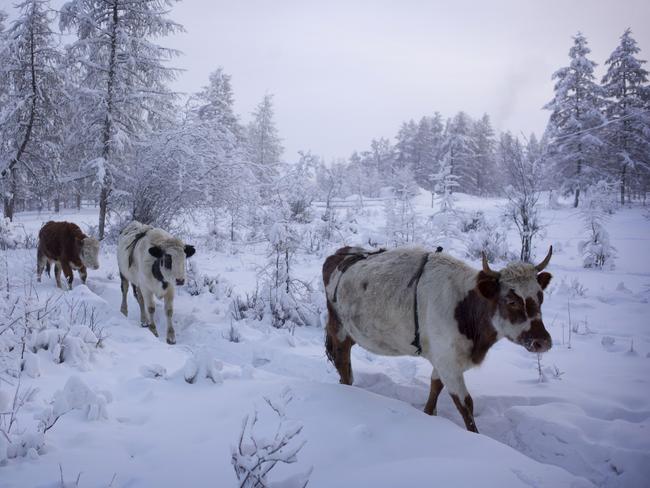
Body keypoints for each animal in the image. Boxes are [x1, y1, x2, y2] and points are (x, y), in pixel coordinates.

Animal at [322, 246, 548, 432]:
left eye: (540, 297)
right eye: (511, 301)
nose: (543, 341)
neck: (464, 308)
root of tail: (341, 253)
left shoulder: (444, 359)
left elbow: (435, 388)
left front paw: (428, 415)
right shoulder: (449, 362)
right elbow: (466, 405)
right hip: (339, 329)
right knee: (342, 363)